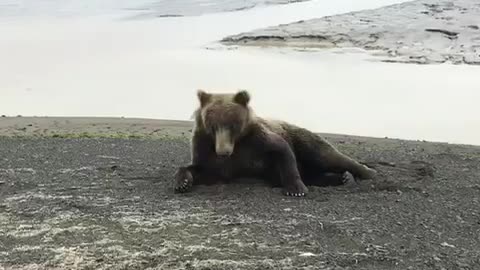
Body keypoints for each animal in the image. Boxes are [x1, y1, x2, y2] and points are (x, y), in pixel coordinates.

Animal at [174, 89, 376, 197]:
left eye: (233, 125)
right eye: (212, 125)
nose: (223, 151)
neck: (236, 145)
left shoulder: (257, 141)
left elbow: (282, 151)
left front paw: (296, 189)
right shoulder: (206, 149)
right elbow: (199, 169)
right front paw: (182, 183)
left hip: (302, 138)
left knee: (325, 156)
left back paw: (365, 172)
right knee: (315, 173)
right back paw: (343, 178)